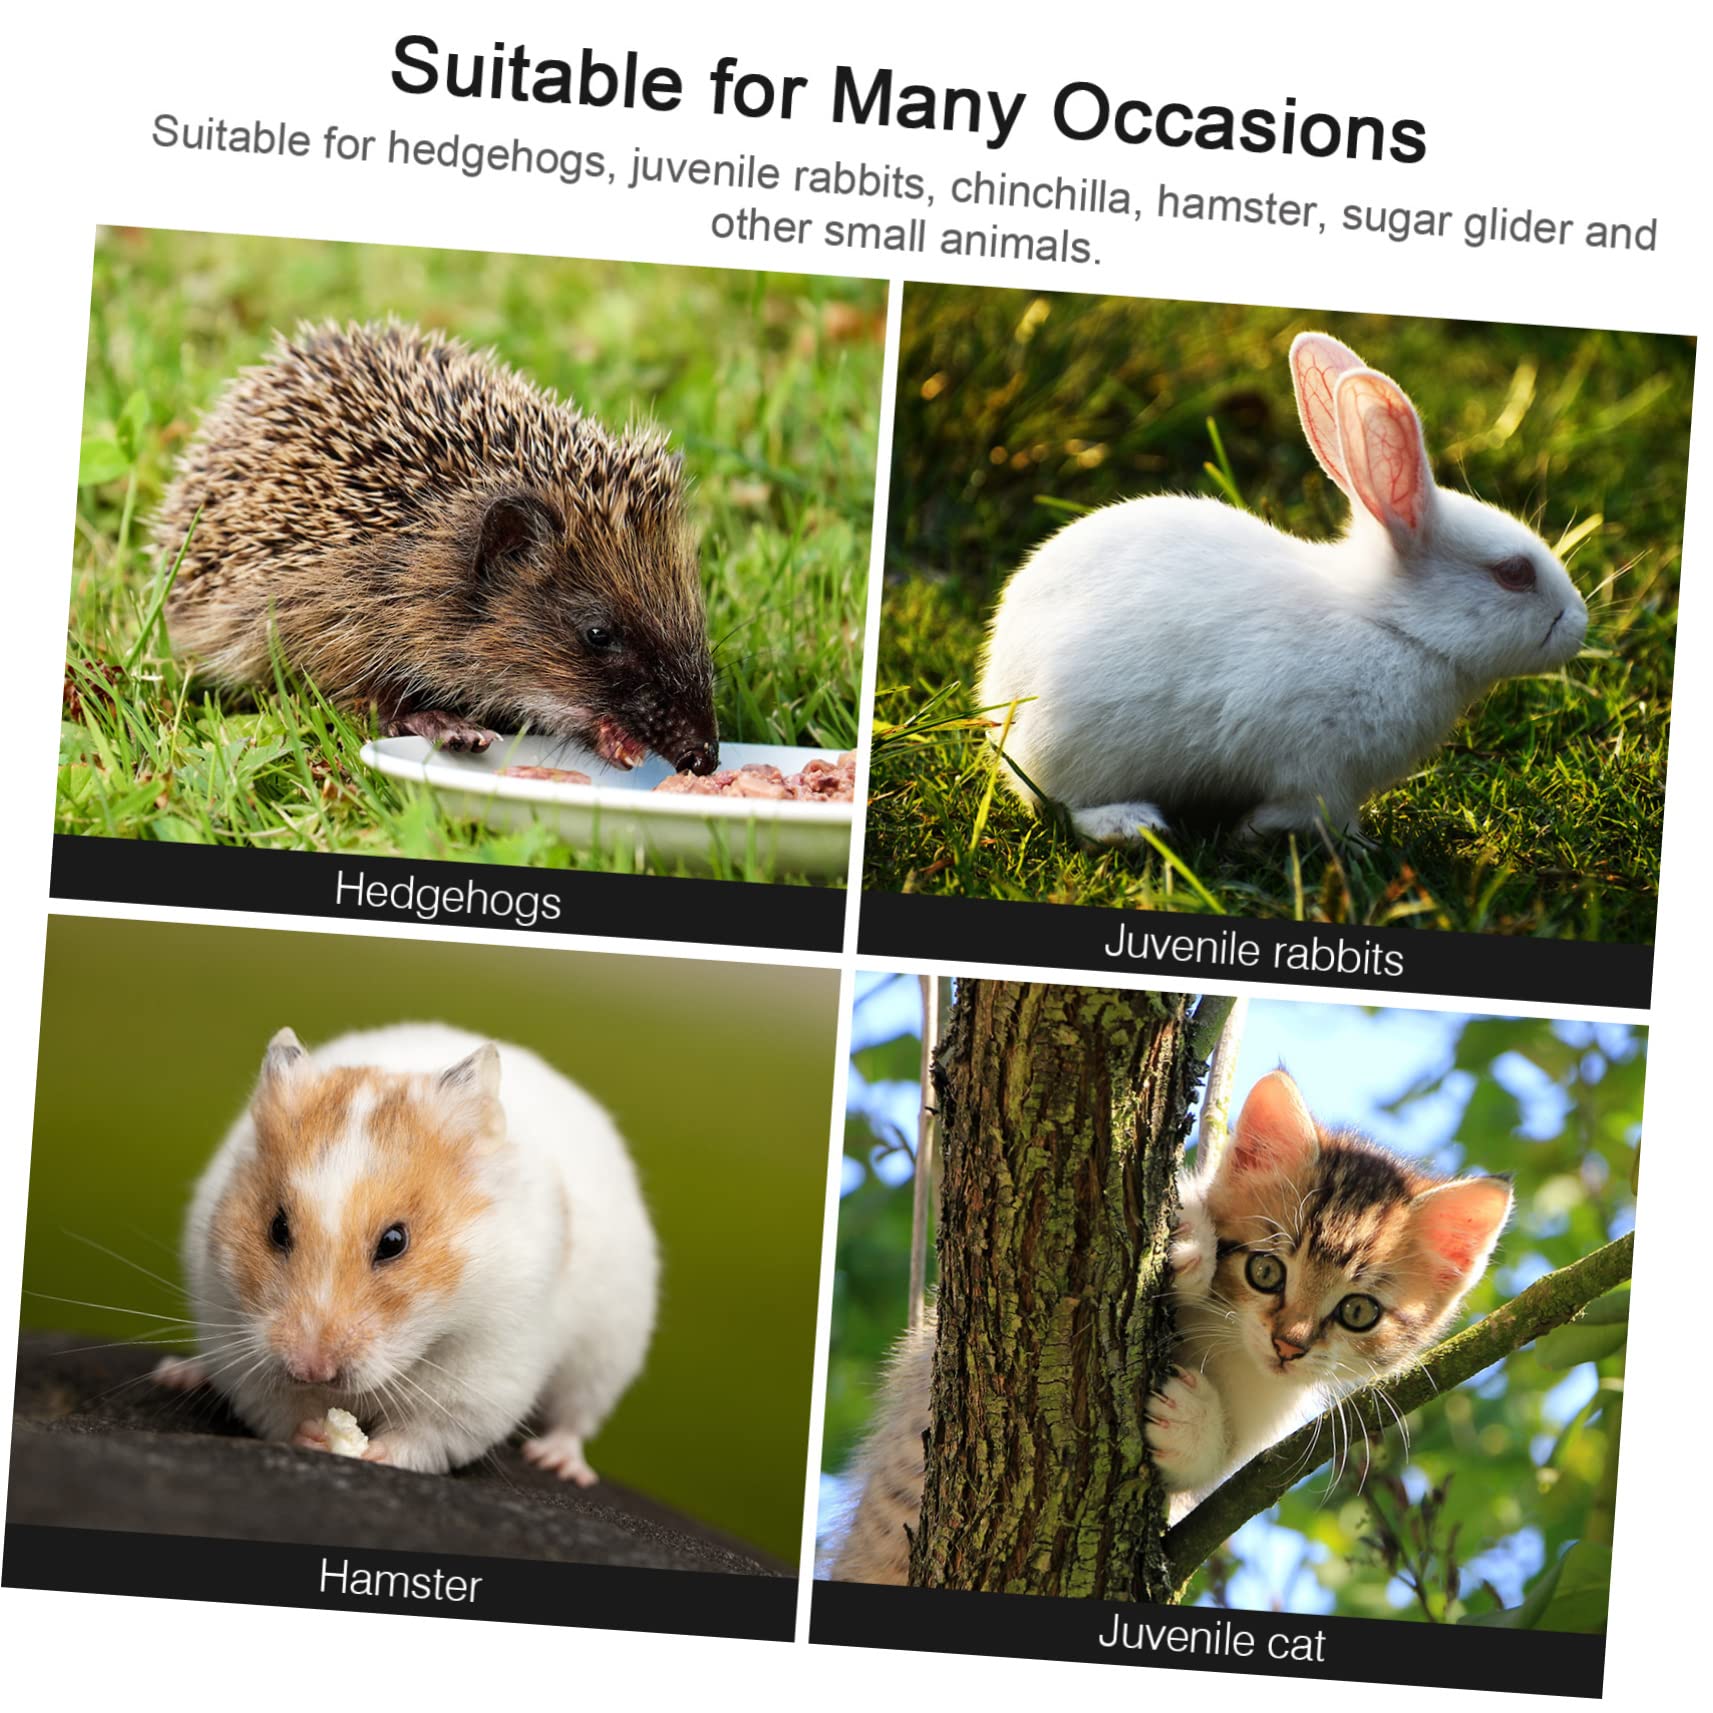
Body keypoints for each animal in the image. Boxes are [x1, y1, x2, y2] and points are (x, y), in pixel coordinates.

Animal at [154, 1022, 657, 1482]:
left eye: (395, 1242)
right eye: (277, 1229)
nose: (312, 1369)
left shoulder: (483, 1374)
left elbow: (426, 1434)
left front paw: (374, 1453)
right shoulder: (236, 1336)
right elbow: (278, 1410)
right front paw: (316, 1435)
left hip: (607, 1351)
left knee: (575, 1417)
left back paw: (559, 1463)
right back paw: (178, 1373)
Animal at [977, 331, 1589, 846]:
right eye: (1514, 573)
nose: (1580, 623)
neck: (1391, 626)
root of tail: (997, 690)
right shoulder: (1318, 769)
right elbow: (1314, 812)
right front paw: (1312, 839)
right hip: (1073, 746)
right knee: (1056, 802)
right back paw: (1129, 824)